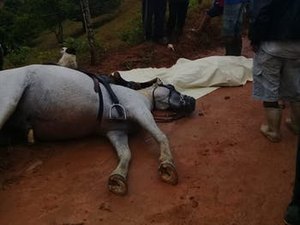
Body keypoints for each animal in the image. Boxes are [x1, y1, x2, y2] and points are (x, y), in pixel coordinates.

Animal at [0, 64, 196, 195]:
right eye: (171, 87)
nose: (192, 101)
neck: (143, 96)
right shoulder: (140, 111)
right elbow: (161, 136)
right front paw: (167, 164)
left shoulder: (116, 132)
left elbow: (126, 154)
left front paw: (118, 177)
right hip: (8, 102)